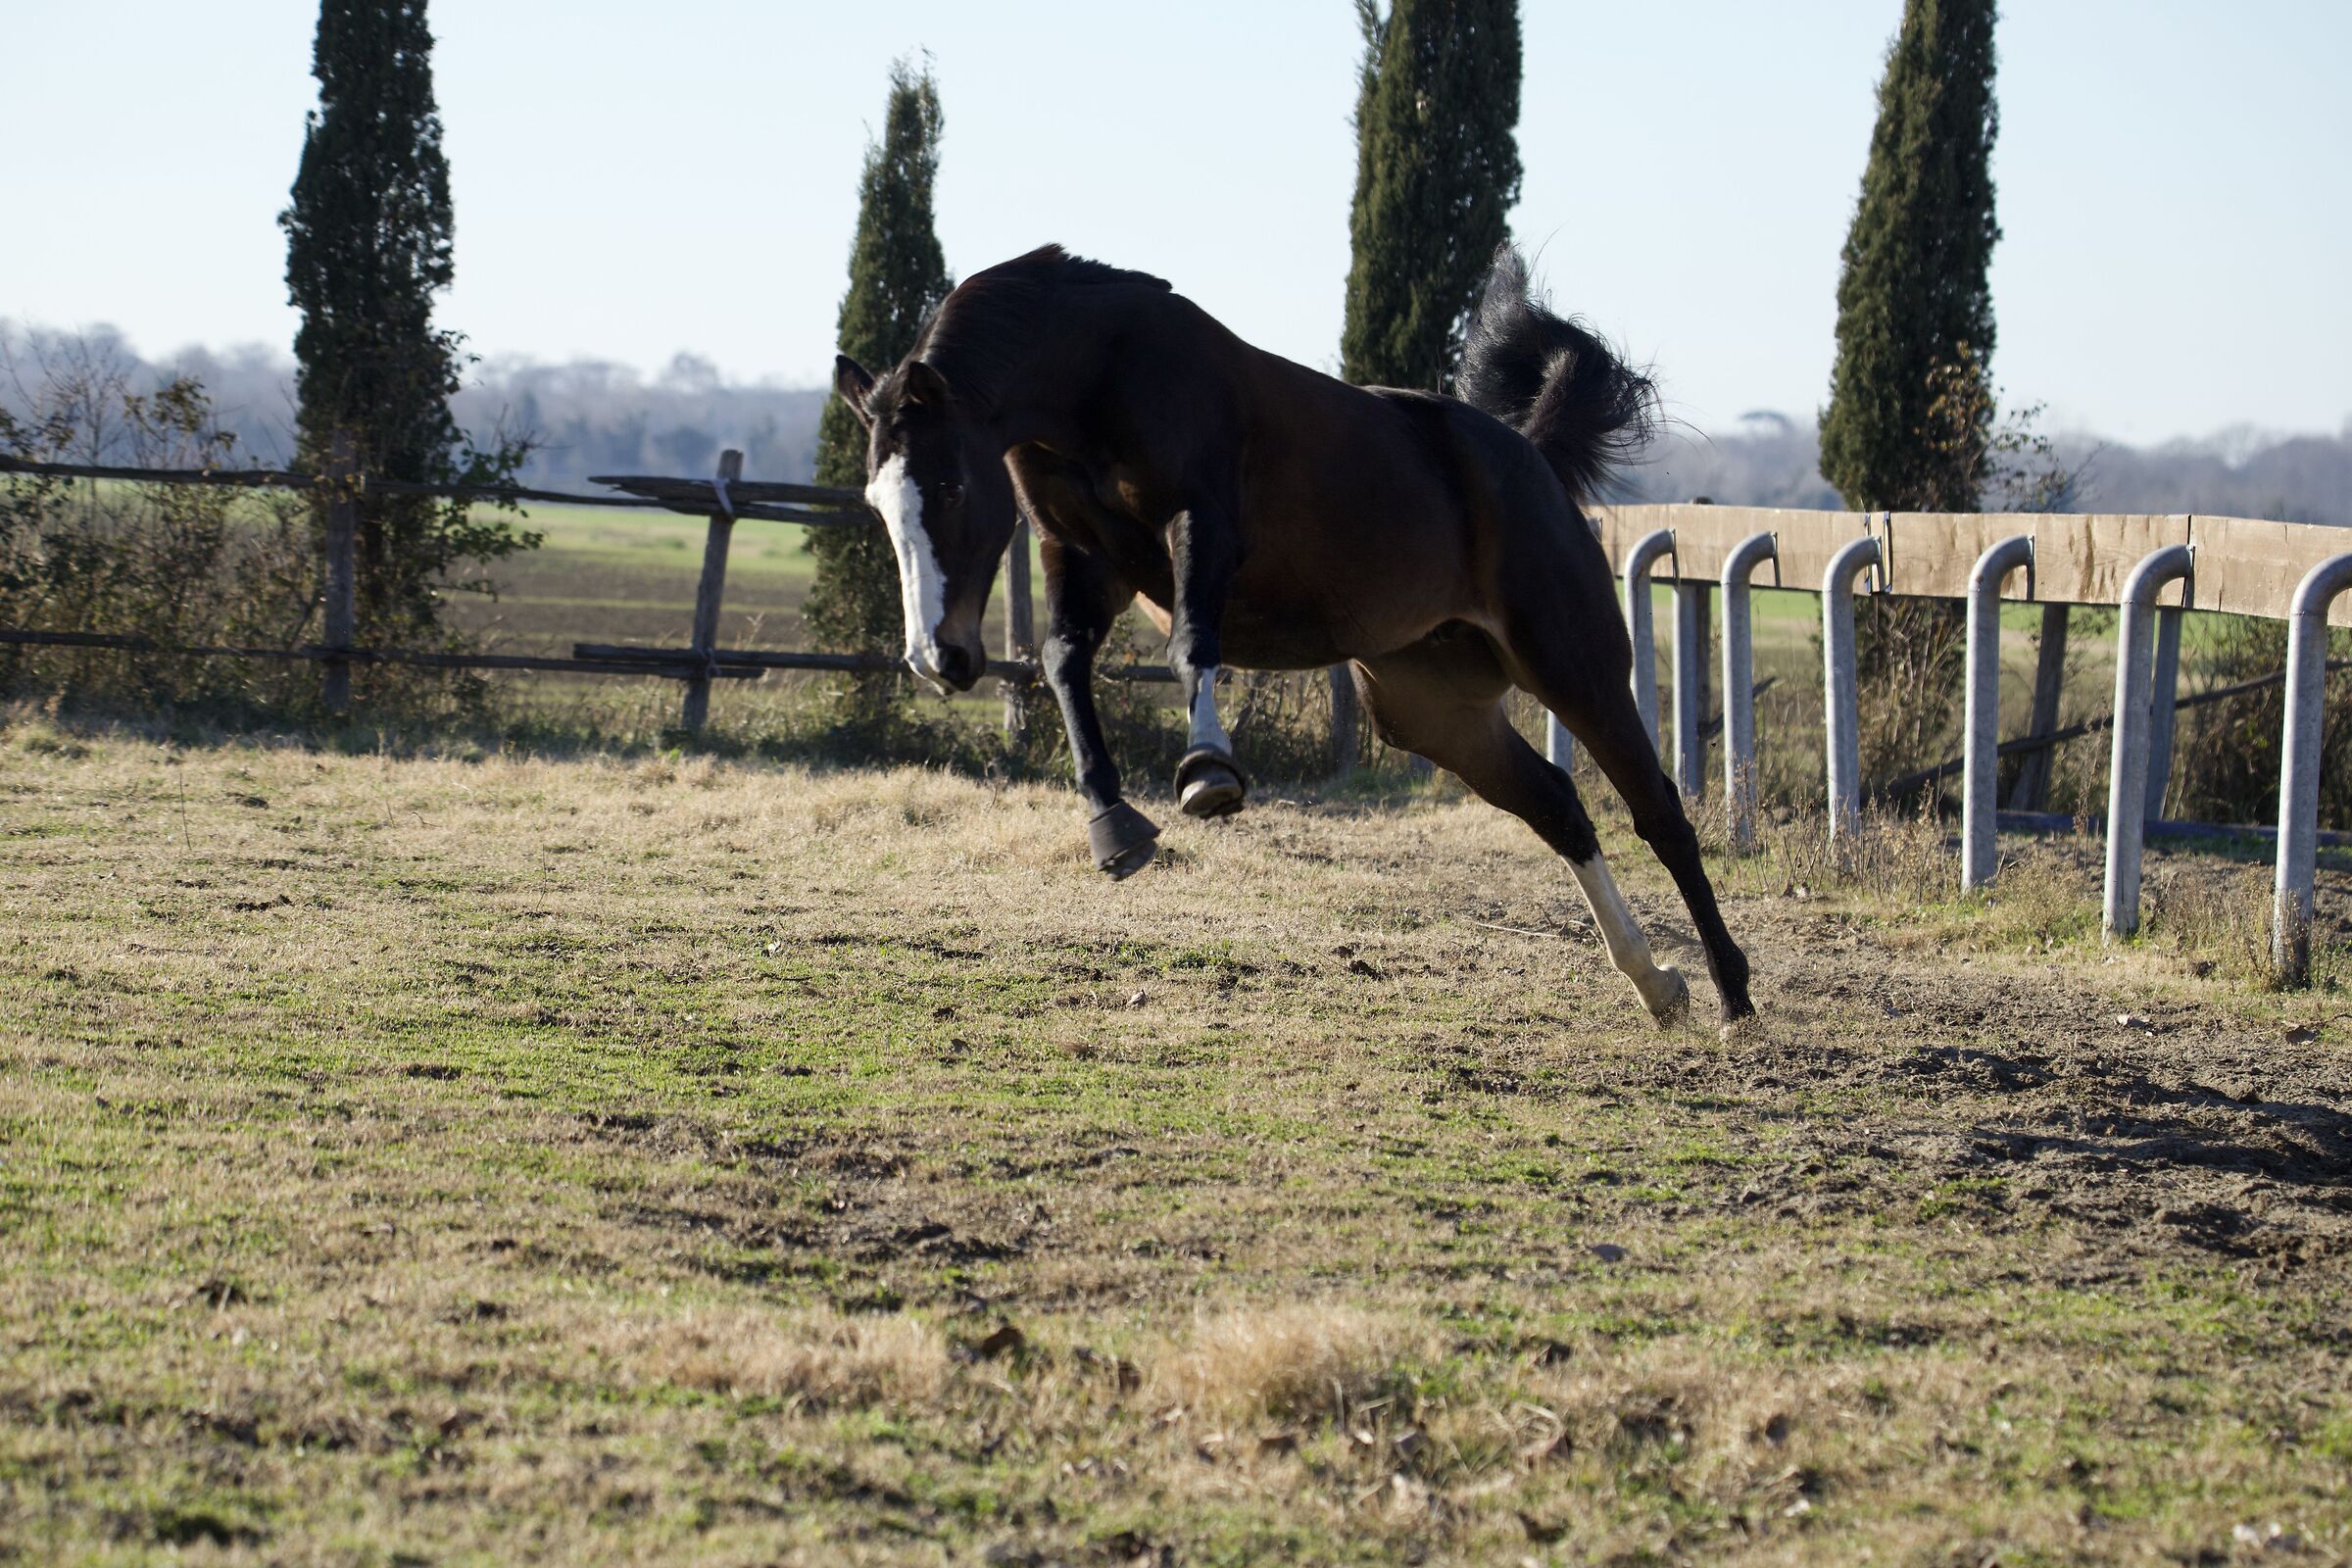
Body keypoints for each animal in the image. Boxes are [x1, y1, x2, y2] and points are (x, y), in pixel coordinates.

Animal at [831, 244, 1755, 1035]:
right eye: (878, 501)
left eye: (952, 486)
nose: (938, 658)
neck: (1098, 371)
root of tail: (1530, 458)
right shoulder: (1081, 556)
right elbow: (1063, 664)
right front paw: (1114, 826)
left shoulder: (1199, 522)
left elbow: (1191, 645)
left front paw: (1209, 773)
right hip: (1433, 713)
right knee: (1560, 807)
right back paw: (1654, 981)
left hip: (1574, 663)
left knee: (1658, 813)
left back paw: (1731, 993)